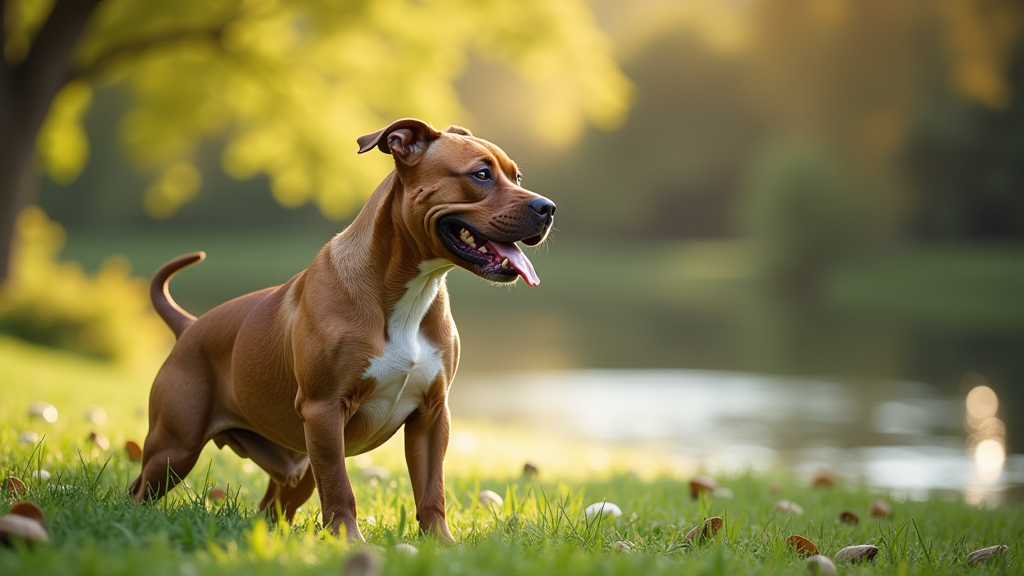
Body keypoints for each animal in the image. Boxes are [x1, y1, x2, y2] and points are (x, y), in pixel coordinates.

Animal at [134, 118, 561, 541]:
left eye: (516, 176)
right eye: (481, 174)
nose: (548, 207)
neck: (411, 291)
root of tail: (190, 325)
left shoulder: (431, 414)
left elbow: (431, 489)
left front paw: (440, 542)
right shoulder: (325, 409)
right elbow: (340, 486)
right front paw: (348, 540)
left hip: (297, 468)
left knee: (272, 507)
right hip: (175, 448)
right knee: (138, 491)